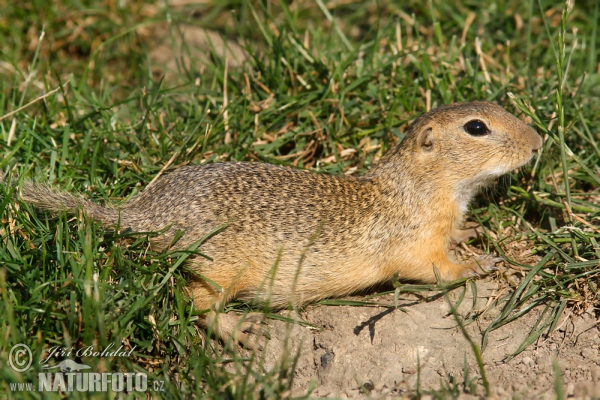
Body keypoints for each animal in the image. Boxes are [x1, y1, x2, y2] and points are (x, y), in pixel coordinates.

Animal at [3, 101, 544, 346]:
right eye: (477, 127)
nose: (539, 140)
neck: (423, 186)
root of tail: (147, 210)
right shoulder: (413, 243)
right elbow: (434, 270)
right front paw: (478, 266)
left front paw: (471, 234)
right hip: (219, 269)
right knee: (193, 301)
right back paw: (238, 330)